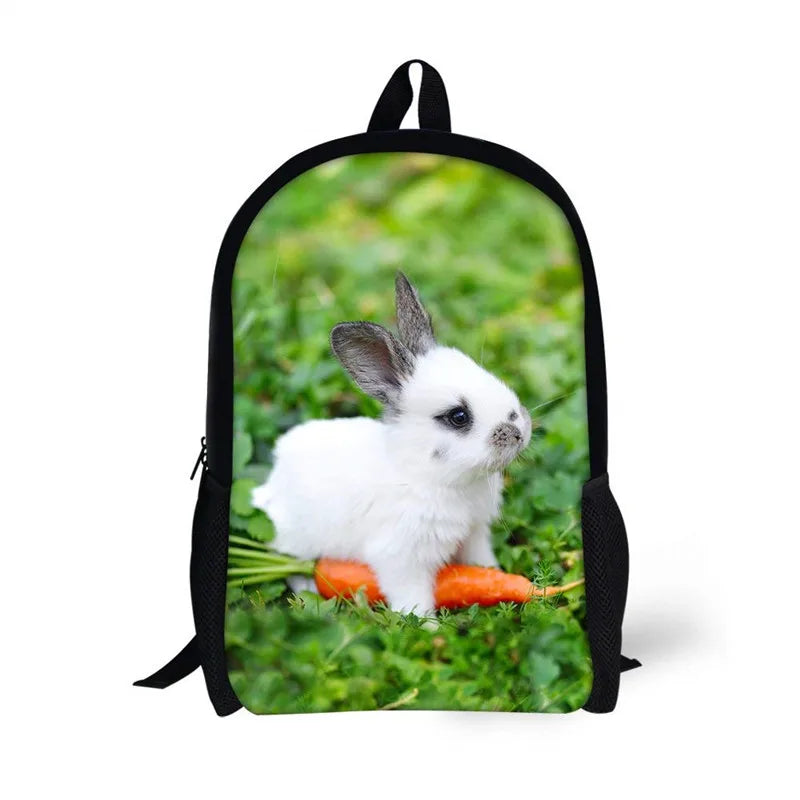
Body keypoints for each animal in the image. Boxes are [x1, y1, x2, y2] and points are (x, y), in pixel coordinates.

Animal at [251, 272, 532, 618]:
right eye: (458, 416)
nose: (518, 430)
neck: (429, 475)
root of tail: (272, 485)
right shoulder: (401, 558)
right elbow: (413, 598)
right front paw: (427, 626)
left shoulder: (474, 534)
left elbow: (481, 565)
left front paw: (496, 577)